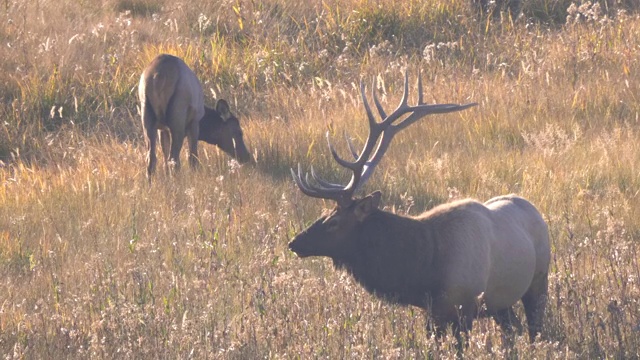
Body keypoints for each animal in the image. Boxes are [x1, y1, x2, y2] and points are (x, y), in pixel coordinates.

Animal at [288, 72, 552, 352]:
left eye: (334, 222)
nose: (294, 242)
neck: (426, 268)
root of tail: (534, 209)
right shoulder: (433, 311)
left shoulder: (466, 305)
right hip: (499, 303)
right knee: (513, 328)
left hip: (538, 280)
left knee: (534, 326)